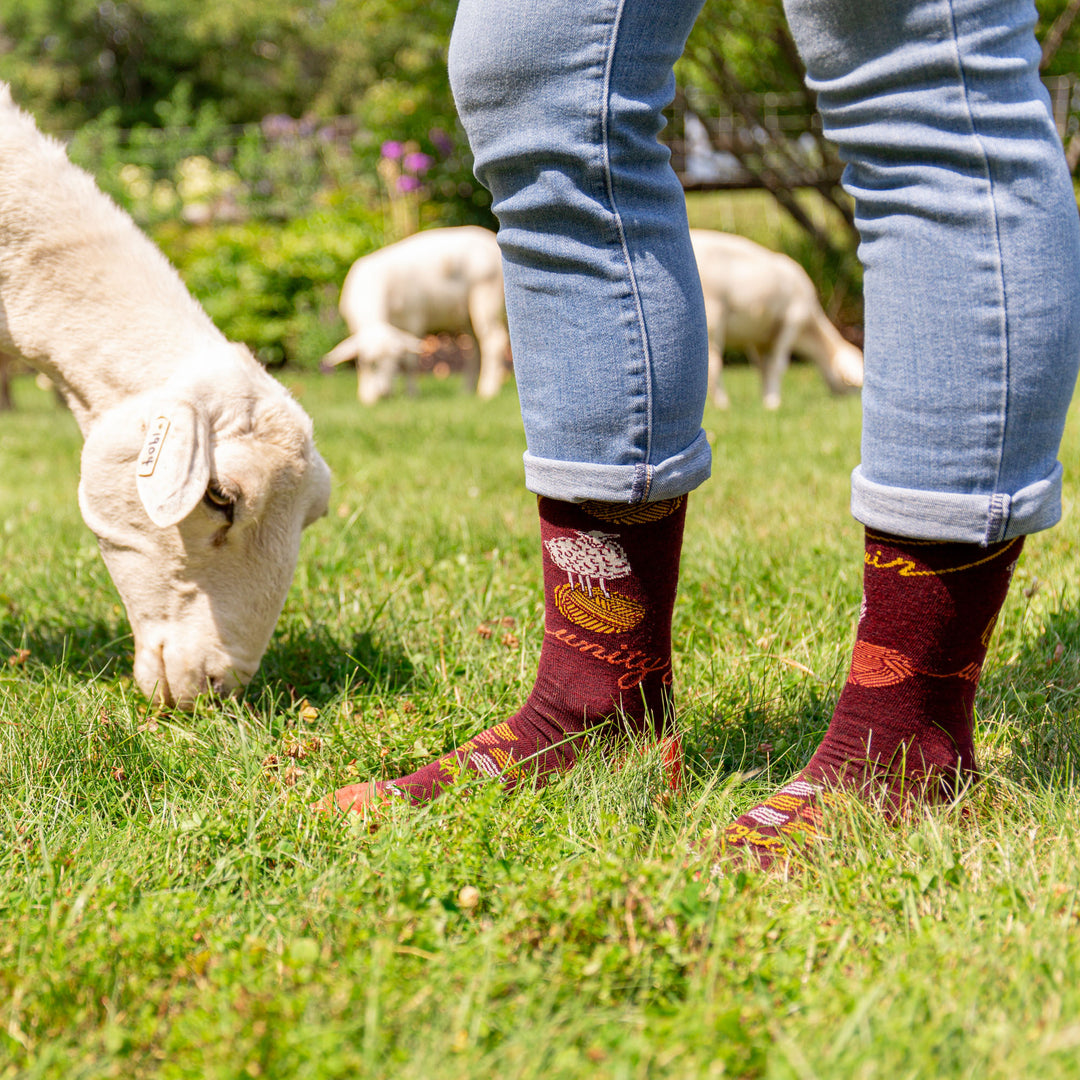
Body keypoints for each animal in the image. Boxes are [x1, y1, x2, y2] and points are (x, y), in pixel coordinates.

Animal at [319, 225, 509, 403]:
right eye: (372, 362)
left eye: (395, 363)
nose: (384, 394)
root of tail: (491, 238)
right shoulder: (356, 329)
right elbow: (359, 361)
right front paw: (366, 395)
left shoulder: (413, 319)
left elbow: (410, 361)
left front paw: (411, 394)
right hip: (466, 315)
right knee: (476, 346)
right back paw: (467, 390)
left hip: (486, 300)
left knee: (494, 341)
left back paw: (487, 390)